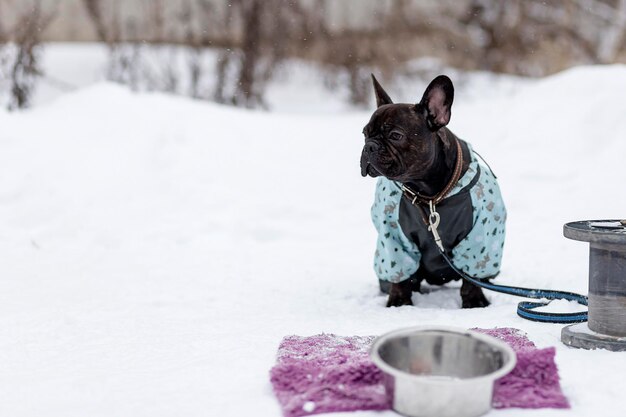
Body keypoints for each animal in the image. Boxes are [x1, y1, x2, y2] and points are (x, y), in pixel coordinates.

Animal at [358, 75, 504, 308]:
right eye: (364, 134)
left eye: (395, 135)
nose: (369, 146)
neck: (429, 192)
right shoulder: (394, 237)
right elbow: (400, 274)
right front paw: (398, 302)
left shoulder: (481, 234)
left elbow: (471, 277)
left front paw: (474, 302)